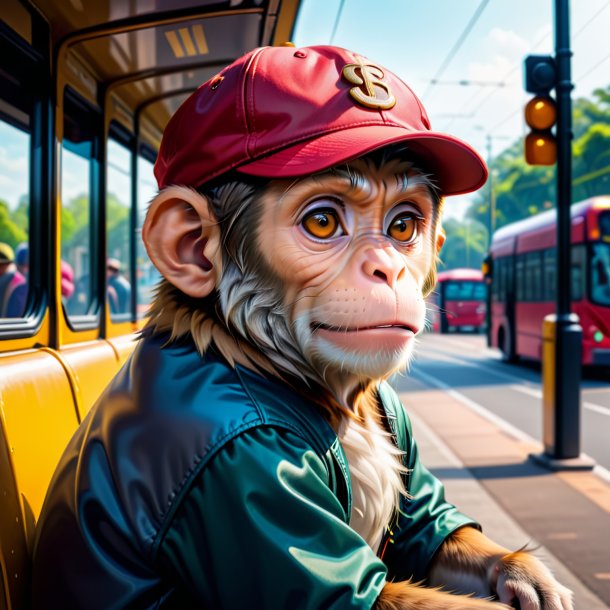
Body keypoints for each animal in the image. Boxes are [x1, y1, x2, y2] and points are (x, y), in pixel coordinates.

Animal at [30, 46, 572, 608]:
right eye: (322, 222)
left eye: (403, 225)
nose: (388, 268)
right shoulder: (238, 467)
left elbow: (431, 529)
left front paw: (527, 575)